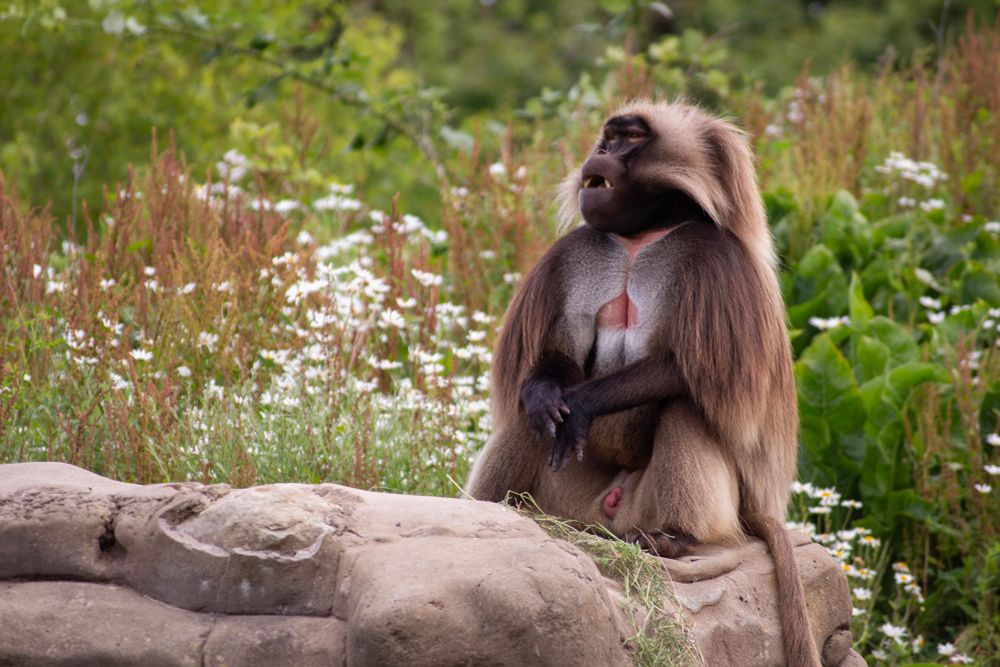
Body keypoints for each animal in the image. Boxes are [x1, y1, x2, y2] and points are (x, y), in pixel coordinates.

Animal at [466, 101, 823, 666]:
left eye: (629, 138)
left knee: (685, 405)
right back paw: (492, 509)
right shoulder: (576, 255)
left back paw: (677, 541)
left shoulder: (716, 261)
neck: (639, 239)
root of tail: (603, 522)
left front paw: (581, 404)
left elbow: (693, 369)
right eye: (607, 137)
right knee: (533, 421)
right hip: (566, 504)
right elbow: (552, 364)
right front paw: (548, 396)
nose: (598, 155)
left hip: (659, 508)